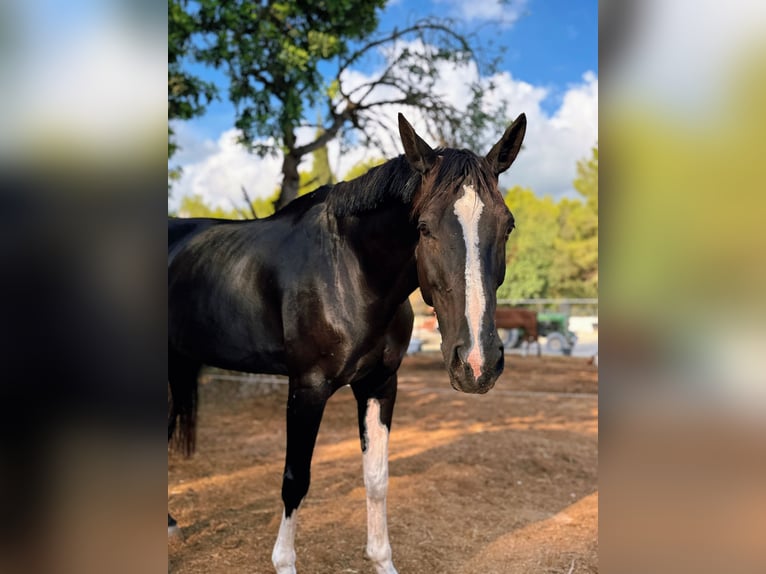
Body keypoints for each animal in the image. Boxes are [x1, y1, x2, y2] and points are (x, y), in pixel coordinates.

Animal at [168, 112, 527, 574]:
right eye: (423, 227)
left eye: (507, 225)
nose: (477, 364)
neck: (347, 271)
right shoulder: (307, 388)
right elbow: (295, 479)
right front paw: (284, 562)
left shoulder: (379, 384)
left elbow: (376, 477)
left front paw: (382, 560)